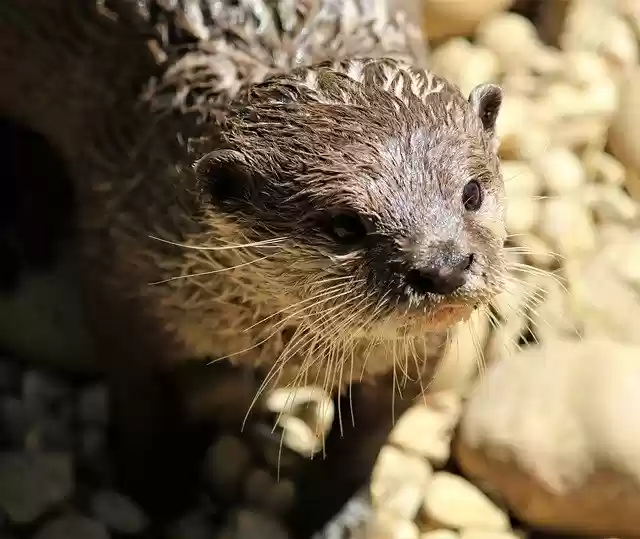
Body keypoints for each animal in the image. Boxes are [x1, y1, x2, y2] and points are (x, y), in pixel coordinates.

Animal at [0, 0, 506, 535]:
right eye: (345, 225)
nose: (444, 265)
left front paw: (334, 516)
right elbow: (141, 400)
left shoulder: (414, 356)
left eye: (471, 192)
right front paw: (156, 491)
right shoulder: (119, 282)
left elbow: (364, 443)